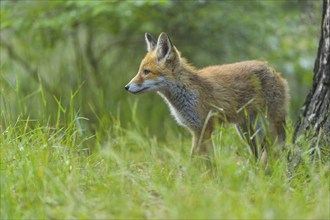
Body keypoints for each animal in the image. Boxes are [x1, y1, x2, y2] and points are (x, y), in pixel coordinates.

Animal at [126, 32, 288, 160]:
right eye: (140, 70)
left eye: (146, 72)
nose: (126, 87)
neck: (187, 92)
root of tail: (275, 71)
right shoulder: (196, 130)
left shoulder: (203, 129)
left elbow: (199, 161)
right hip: (246, 132)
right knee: (259, 154)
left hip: (264, 129)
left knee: (275, 151)